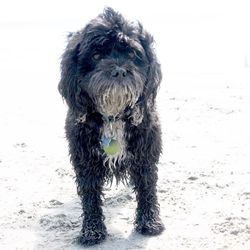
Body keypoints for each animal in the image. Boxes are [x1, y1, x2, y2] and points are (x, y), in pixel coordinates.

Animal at [58, 7, 164, 244]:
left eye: (132, 54)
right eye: (96, 56)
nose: (119, 70)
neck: (113, 116)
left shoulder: (145, 154)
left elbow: (147, 188)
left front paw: (150, 222)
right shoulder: (84, 159)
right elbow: (90, 196)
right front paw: (92, 230)